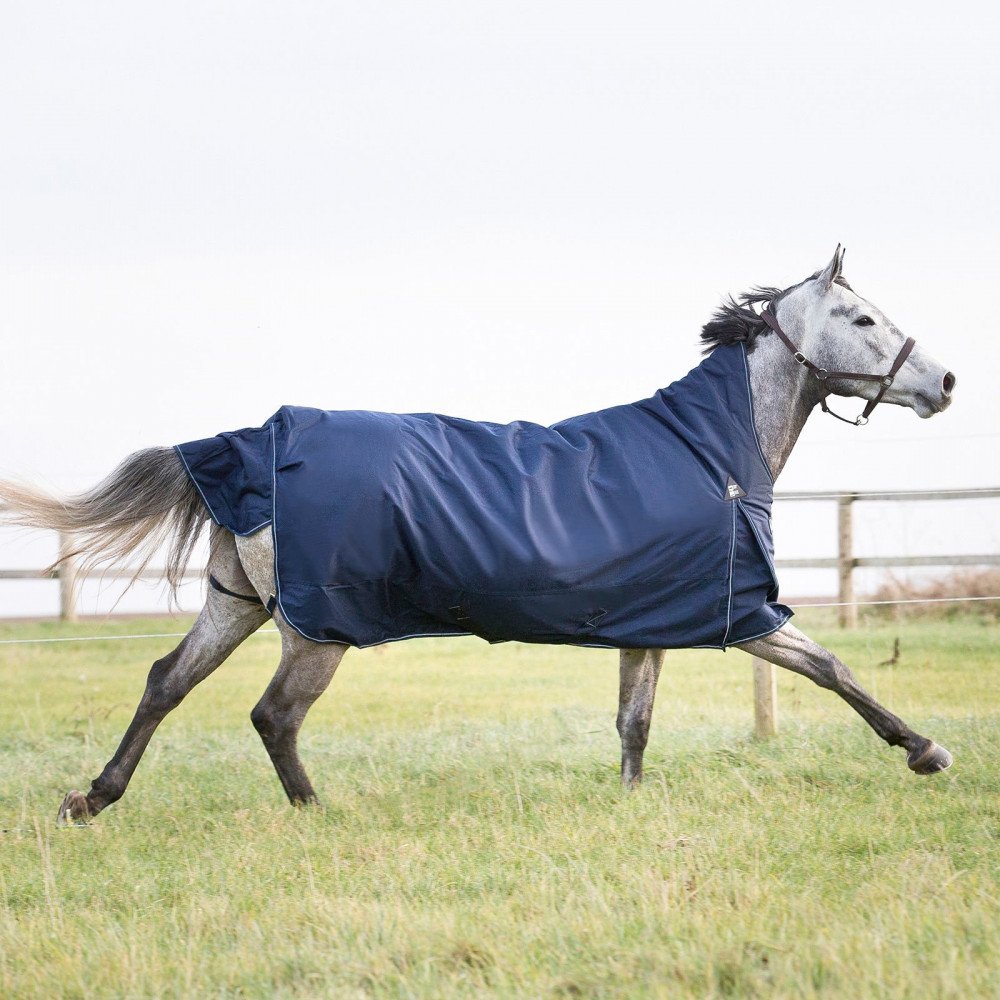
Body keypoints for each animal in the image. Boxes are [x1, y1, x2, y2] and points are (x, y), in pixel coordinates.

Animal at [0, 247, 957, 825]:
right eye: (863, 319)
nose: (945, 381)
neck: (711, 450)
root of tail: (253, 441)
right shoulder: (743, 614)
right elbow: (831, 670)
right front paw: (924, 750)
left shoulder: (650, 621)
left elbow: (634, 722)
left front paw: (628, 802)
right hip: (317, 628)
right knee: (274, 715)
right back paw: (315, 811)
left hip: (238, 605)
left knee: (167, 682)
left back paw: (93, 798)